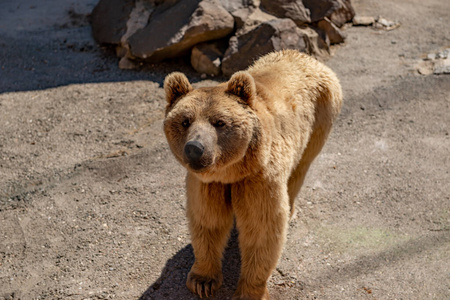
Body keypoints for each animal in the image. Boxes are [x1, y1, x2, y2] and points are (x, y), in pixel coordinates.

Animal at [163, 50, 342, 298]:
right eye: (185, 121)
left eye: (219, 122)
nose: (195, 148)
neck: (230, 172)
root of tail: (306, 57)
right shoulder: (208, 184)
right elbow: (207, 220)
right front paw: (202, 280)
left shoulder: (258, 178)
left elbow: (261, 229)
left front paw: (249, 290)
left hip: (320, 118)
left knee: (299, 170)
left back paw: (291, 208)